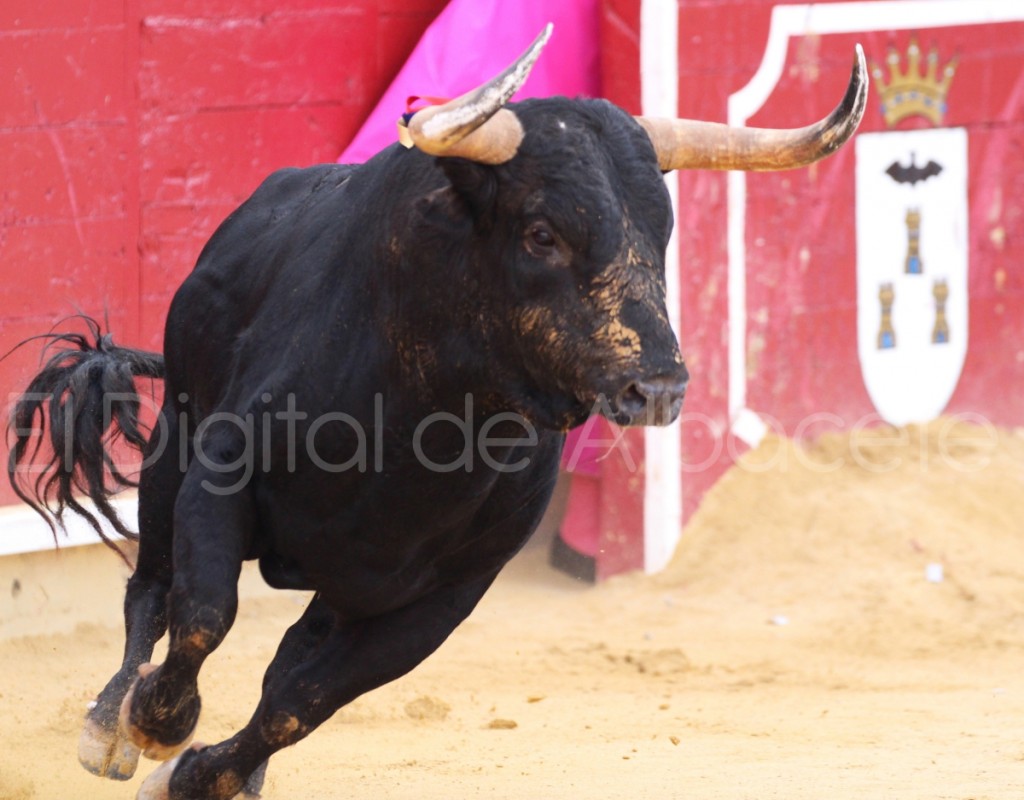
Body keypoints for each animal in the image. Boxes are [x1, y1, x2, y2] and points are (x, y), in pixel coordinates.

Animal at [8, 29, 864, 798]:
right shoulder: (219, 476)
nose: (656, 386)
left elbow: (297, 701)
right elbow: (203, 615)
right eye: (543, 233)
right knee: (151, 585)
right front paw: (155, 725)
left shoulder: (443, 597)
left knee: (287, 654)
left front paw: (200, 775)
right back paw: (109, 725)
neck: (423, 426)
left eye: (662, 234)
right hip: (170, 451)